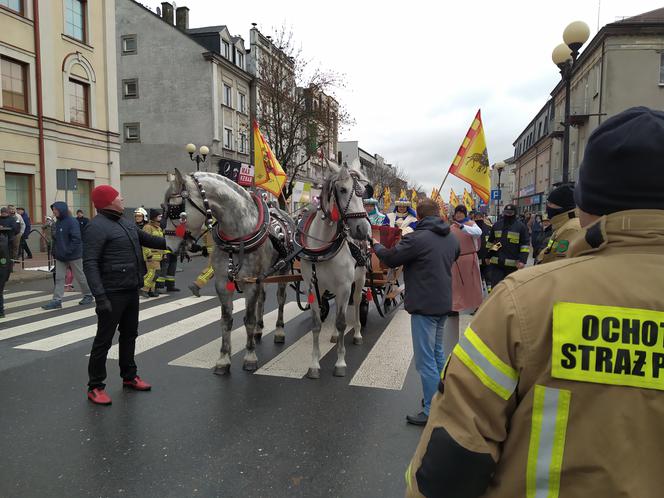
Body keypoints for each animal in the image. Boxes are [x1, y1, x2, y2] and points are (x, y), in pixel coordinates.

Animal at [161, 170, 294, 374]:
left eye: (175, 209)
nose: (168, 247)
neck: (237, 237)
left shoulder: (250, 283)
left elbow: (248, 319)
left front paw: (250, 356)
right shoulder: (223, 283)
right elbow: (226, 320)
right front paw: (223, 358)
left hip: (282, 271)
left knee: (280, 299)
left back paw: (279, 330)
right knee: (262, 299)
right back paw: (259, 330)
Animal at [296, 163, 370, 378]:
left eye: (363, 193)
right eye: (343, 190)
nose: (363, 229)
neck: (322, 247)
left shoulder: (345, 286)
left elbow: (342, 322)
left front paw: (340, 363)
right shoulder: (312, 286)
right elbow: (316, 324)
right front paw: (314, 364)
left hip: (359, 279)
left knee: (357, 302)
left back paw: (357, 333)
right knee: (337, 306)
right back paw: (335, 336)